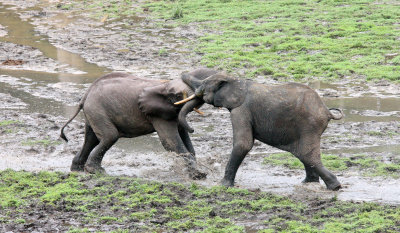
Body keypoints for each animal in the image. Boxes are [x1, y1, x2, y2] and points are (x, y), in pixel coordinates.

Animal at [59, 68, 217, 179]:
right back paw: (96, 172)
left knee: (91, 139)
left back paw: (77, 170)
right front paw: (198, 176)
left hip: (93, 112)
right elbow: (170, 142)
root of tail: (86, 94)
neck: (164, 84)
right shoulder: (156, 114)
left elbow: (185, 140)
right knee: (110, 136)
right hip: (97, 110)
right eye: (178, 96)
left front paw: (196, 172)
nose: (193, 130)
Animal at [177, 73, 344, 191]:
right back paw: (308, 183)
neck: (236, 80)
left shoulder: (241, 110)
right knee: (304, 155)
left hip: (309, 125)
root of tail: (327, 111)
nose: (192, 129)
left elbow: (243, 144)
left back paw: (334, 187)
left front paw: (223, 185)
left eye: (204, 86)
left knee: (306, 154)